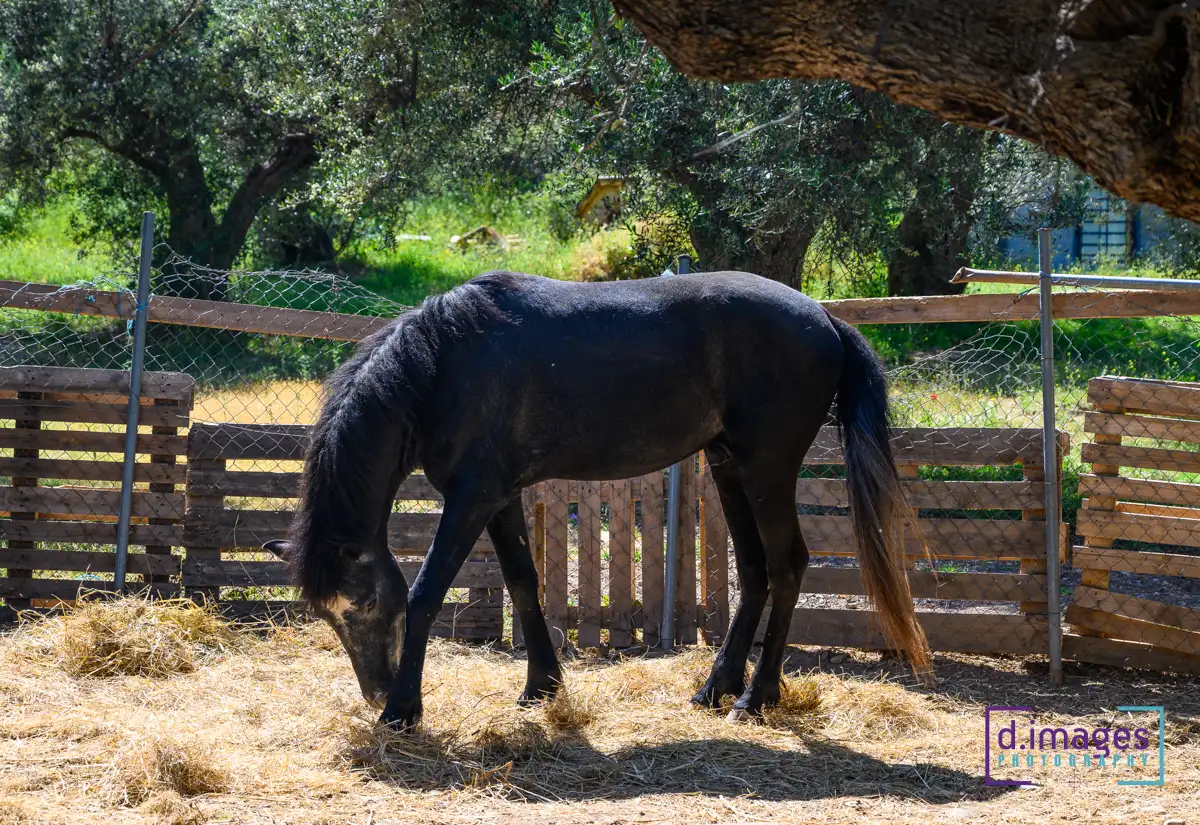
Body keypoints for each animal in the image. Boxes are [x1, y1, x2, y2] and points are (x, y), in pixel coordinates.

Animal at [267, 271, 931, 729]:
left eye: (363, 605)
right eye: (327, 615)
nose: (376, 691)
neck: (443, 365)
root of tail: (823, 318)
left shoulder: (470, 497)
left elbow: (428, 591)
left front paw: (404, 710)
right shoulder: (499, 498)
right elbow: (523, 582)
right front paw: (541, 687)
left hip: (767, 469)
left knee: (788, 564)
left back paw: (755, 695)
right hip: (729, 467)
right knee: (754, 570)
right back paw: (715, 687)